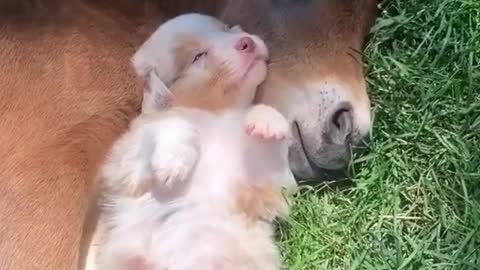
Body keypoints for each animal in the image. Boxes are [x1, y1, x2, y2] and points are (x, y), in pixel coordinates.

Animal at [93, 13, 296, 270]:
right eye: (198, 57)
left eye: (226, 29)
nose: (247, 41)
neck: (217, 114)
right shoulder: (126, 165)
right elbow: (173, 124)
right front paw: (173, 161)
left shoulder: (270, 186)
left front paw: (267, 120)